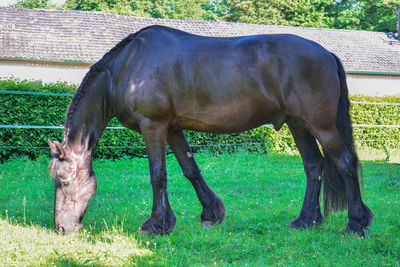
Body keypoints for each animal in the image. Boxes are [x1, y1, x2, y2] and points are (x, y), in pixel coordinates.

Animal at [48, 25, 374, 237]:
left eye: (63, 180)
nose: (63, 228)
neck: (128, 67)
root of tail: (327, 53)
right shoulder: (173, 129)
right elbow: (190, 169)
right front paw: (211, 213)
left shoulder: (153, 126)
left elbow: (158, 174)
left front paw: (156, 224)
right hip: (298, 124)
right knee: (314, 165)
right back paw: (306, 221)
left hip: (320, 125)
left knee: (345, 163)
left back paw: (356, 223)